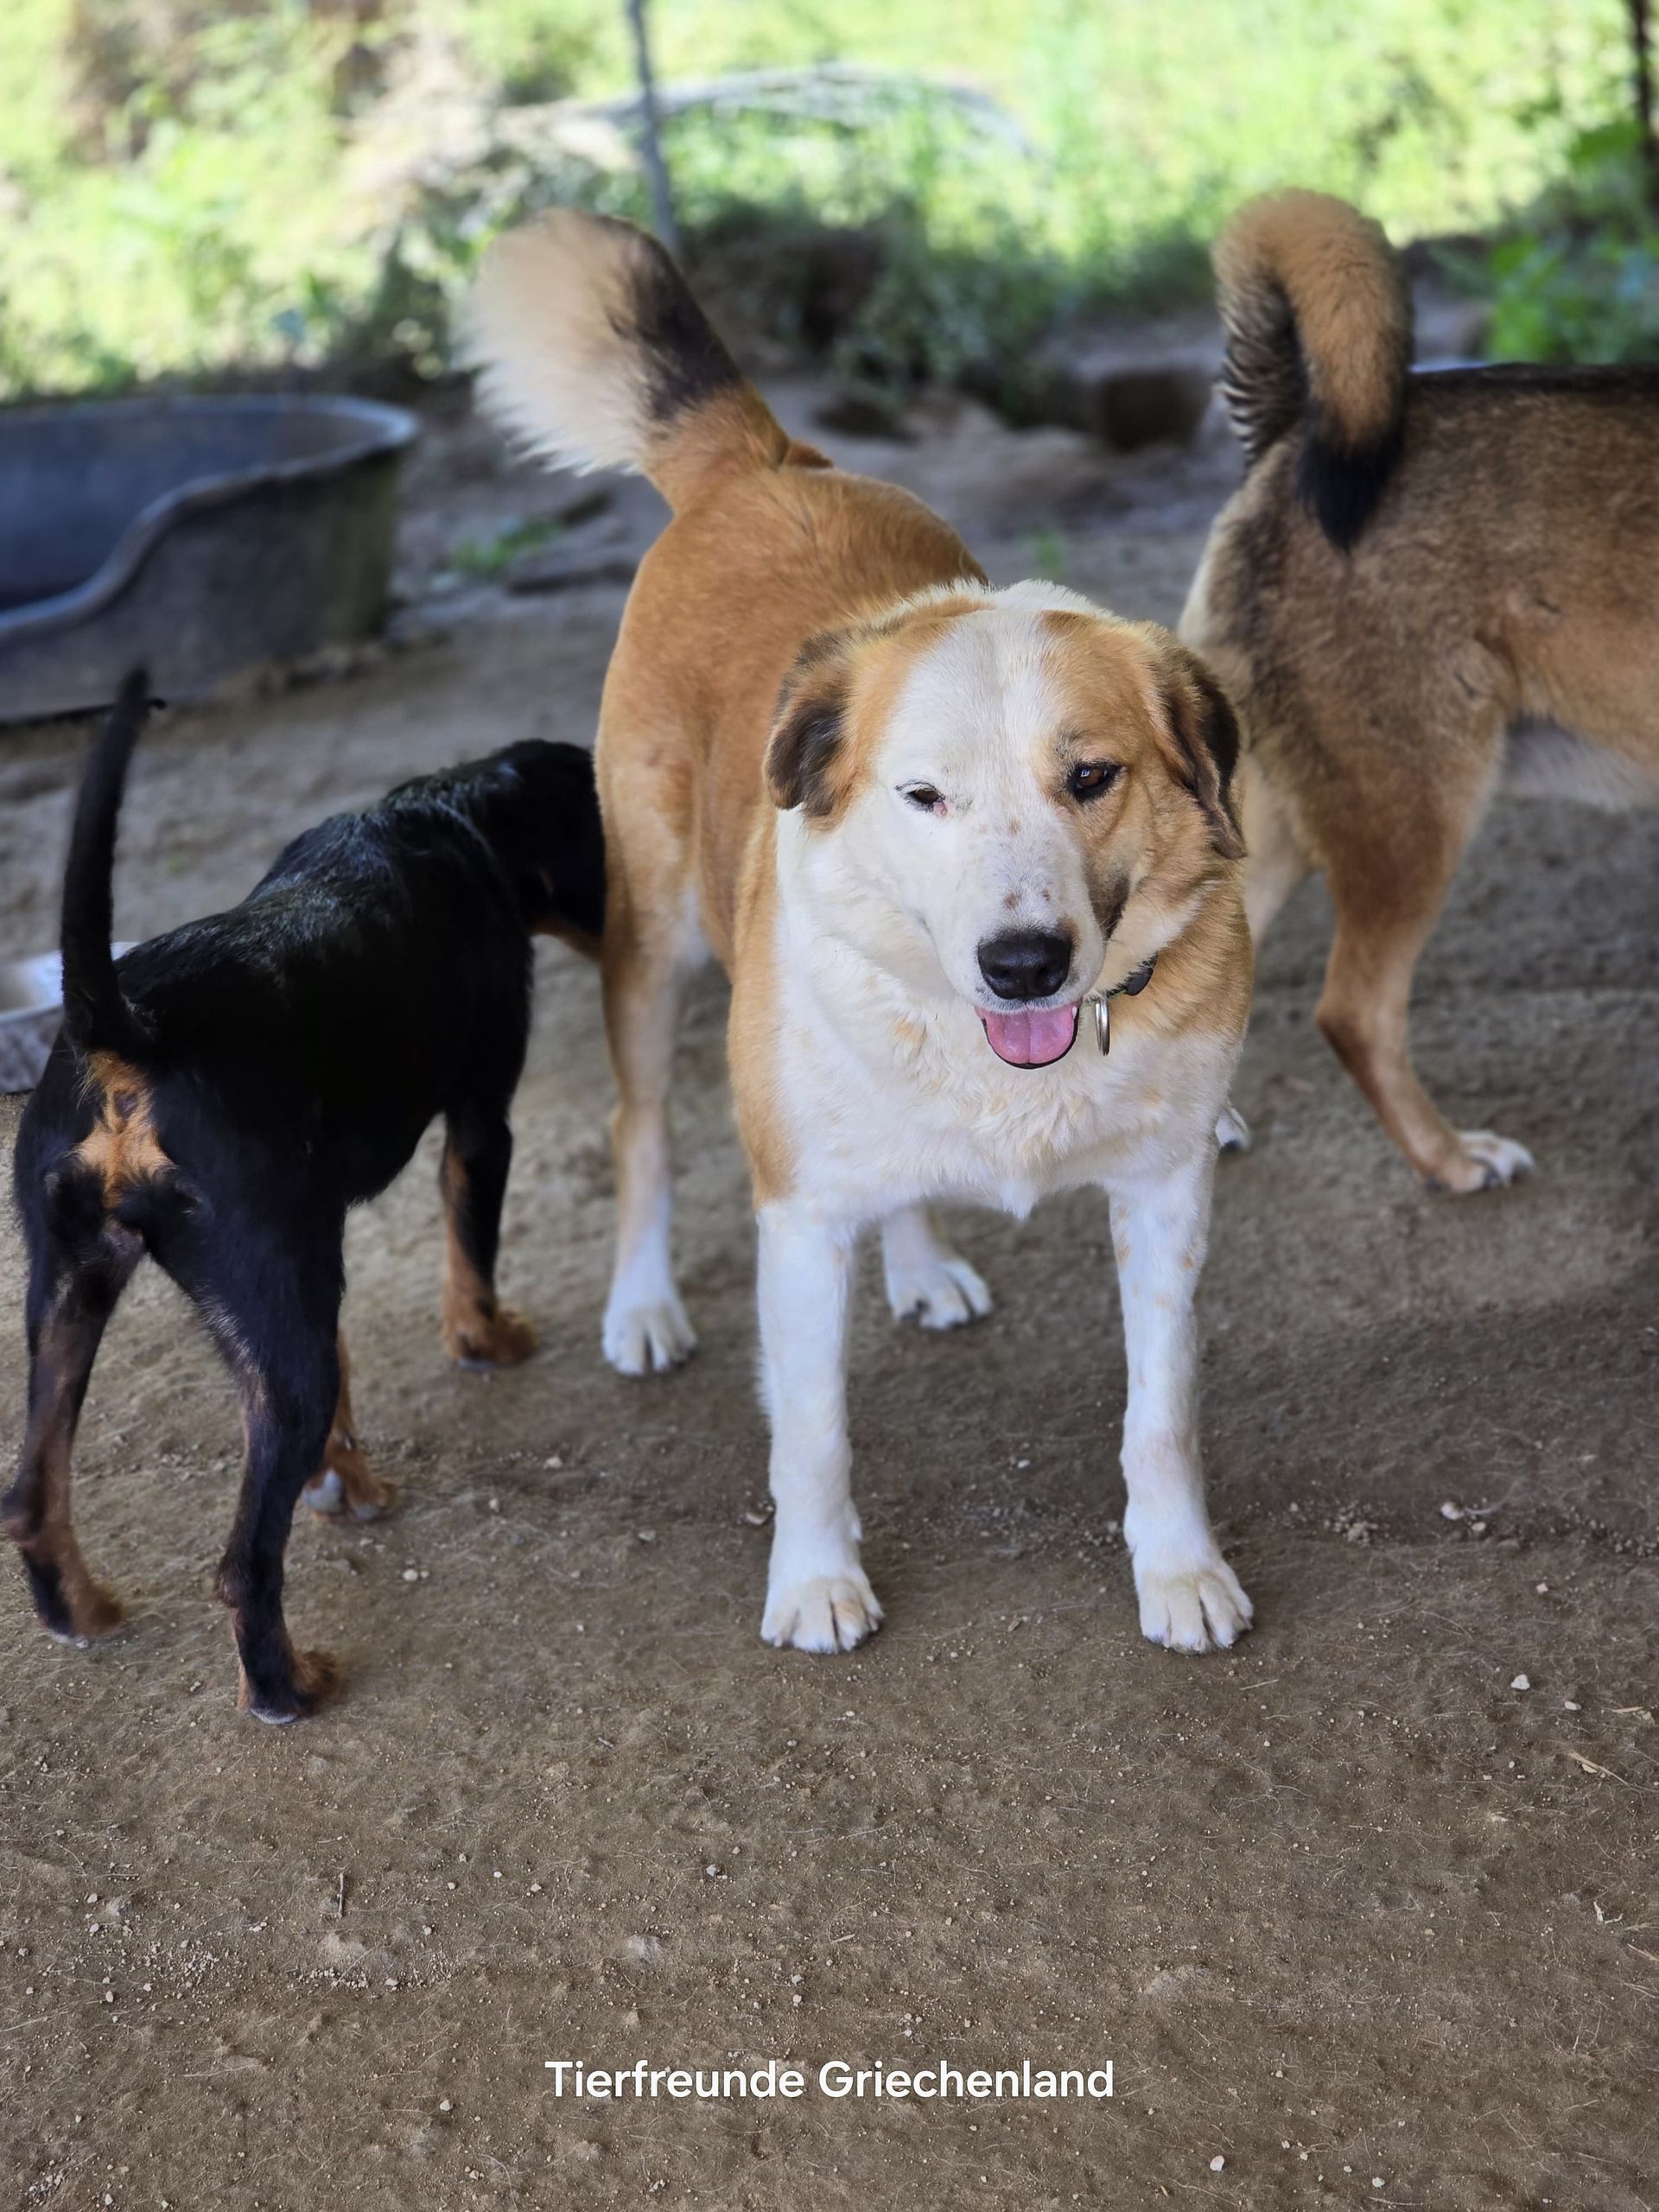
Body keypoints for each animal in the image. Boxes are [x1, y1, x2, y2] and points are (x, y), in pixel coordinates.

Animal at [5, 676, 604, 1720]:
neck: (456, 814)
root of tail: (129, 1029)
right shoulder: (481, 1124)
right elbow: (472, 1255)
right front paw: (485, 1343)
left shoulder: (310, 1245)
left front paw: (343, 1477)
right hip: (276, 1345)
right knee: (243, 1563)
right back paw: (284, 1687)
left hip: (71, 1293)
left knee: (33, 1498)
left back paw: (80, 1612)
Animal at [468, 212, 1255, 1655]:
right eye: (924, 796)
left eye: (1093, 777)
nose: (1023, 964)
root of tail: (766, 462)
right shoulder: (800, 1221)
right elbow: (814, 1434)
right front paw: (818, 1582)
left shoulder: (1167, 1197)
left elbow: (1160, 1417)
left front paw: (1180, 1571)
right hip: (652, 947)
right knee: (640, 1128)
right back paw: (644, 1306)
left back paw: (924, 1262)